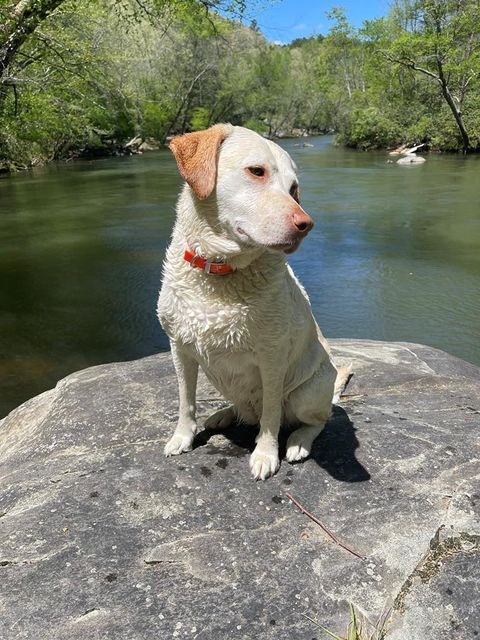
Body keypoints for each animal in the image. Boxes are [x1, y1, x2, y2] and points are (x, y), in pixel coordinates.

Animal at [158, 124, 348, 480]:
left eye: (293, 188)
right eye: (256, 171)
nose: (306, 225)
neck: (220, 272)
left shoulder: (271, 357)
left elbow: (271, 415)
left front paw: (265, 454)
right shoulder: (179, 347)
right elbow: (185, 399)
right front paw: (182, 437)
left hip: (306, 394)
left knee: (316, 420)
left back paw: (298, 441)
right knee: (244, 410)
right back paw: (224, 414)